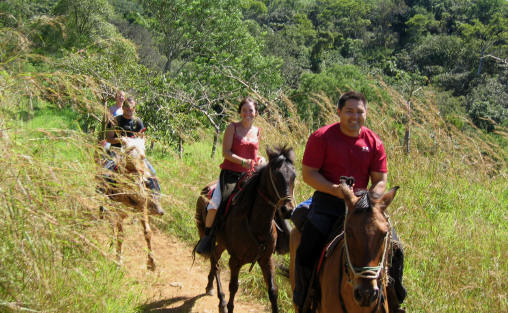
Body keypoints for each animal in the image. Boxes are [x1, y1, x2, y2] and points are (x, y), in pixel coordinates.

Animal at [96, 138, 164, 270]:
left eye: (144, 153)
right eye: (129, 151)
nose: (144, 175)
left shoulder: (142, 207)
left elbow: (147, 233)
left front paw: (152, 263)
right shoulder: (118, 208)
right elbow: (121, 234)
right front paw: (118, 261)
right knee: (110, 221)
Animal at [195, 146, 298, 312]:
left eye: (294, 176)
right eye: (275, 175)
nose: (287, 210)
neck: (257, 225)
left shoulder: (266, 260)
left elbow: (273, 292)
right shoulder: (235, 261)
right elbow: (233, 287)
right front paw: (227, 305)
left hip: (222, 243)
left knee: (215, 257)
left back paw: (210, 286)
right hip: (204, 233)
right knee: (215, 262)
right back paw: (221, 300)